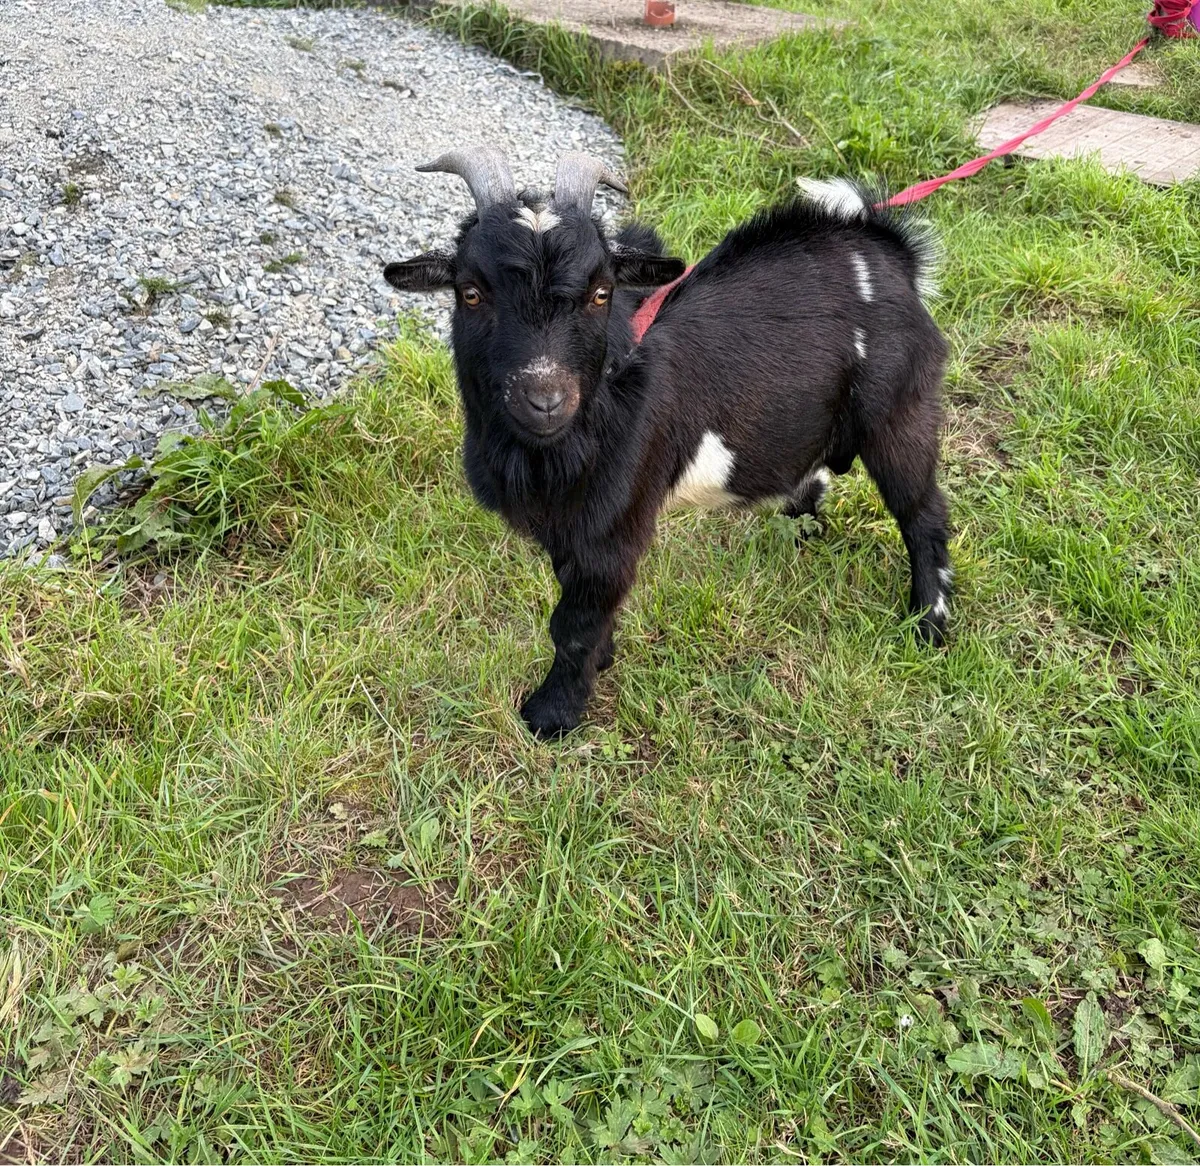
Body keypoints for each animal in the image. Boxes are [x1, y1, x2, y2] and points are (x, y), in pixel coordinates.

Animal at [384, 147, 951, 737]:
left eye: (601, 292)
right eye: (470, 293)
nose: (545, 398)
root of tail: (887, 254)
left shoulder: (616, 523)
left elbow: (574, 623)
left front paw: (552, 714)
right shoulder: (570, 529)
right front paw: (599, 664)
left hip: (899, 411)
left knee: (922, 512)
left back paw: (928, 623)